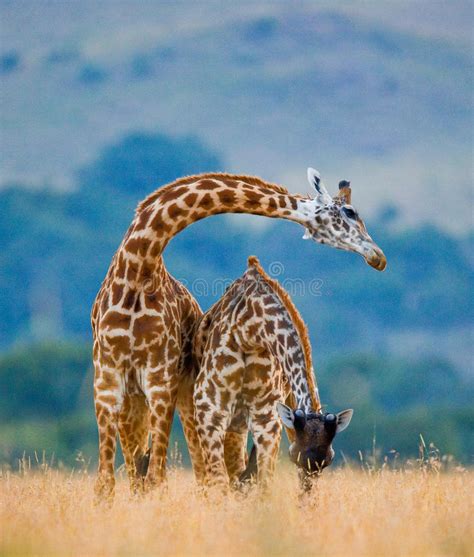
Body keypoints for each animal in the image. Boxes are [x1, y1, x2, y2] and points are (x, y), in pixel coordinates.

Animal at [192, 254, 352, 494]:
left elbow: (261, 481)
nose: (307, 497)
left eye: (328, 461)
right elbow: (220, 481)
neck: (250, 328)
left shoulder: (267, 414)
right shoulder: (209, 407)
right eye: (294, 456)